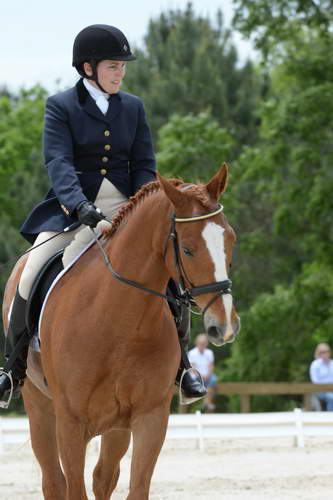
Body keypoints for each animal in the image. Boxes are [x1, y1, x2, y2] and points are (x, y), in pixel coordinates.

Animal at [1, 163, 239, 496]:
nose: (225, 325)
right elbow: (74, 488)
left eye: (231, 240)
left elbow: (136, 487)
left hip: (115, 426)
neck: (120, 322)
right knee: (54, 481)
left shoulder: (150, 418)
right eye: (188, 249)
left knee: (103, 477)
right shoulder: (71, 423)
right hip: (39, 407)